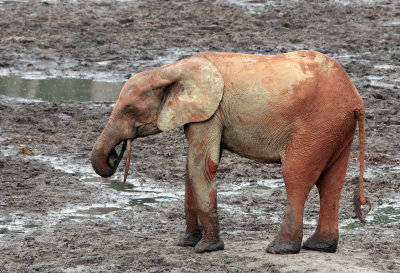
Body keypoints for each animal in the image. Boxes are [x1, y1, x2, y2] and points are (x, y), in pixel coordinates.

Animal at [90, 50, 368, 253]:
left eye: (130, 110)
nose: (114, 156)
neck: (170, 70)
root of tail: (355, 99)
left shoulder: (211, 113)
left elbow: (202, 167)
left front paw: (206, 249)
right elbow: (191, 169)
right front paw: (186, 243)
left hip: (317, 127)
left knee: (296, 178)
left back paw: (279, 249)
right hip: (335, 129)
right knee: (331, 183)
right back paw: (321, 246)